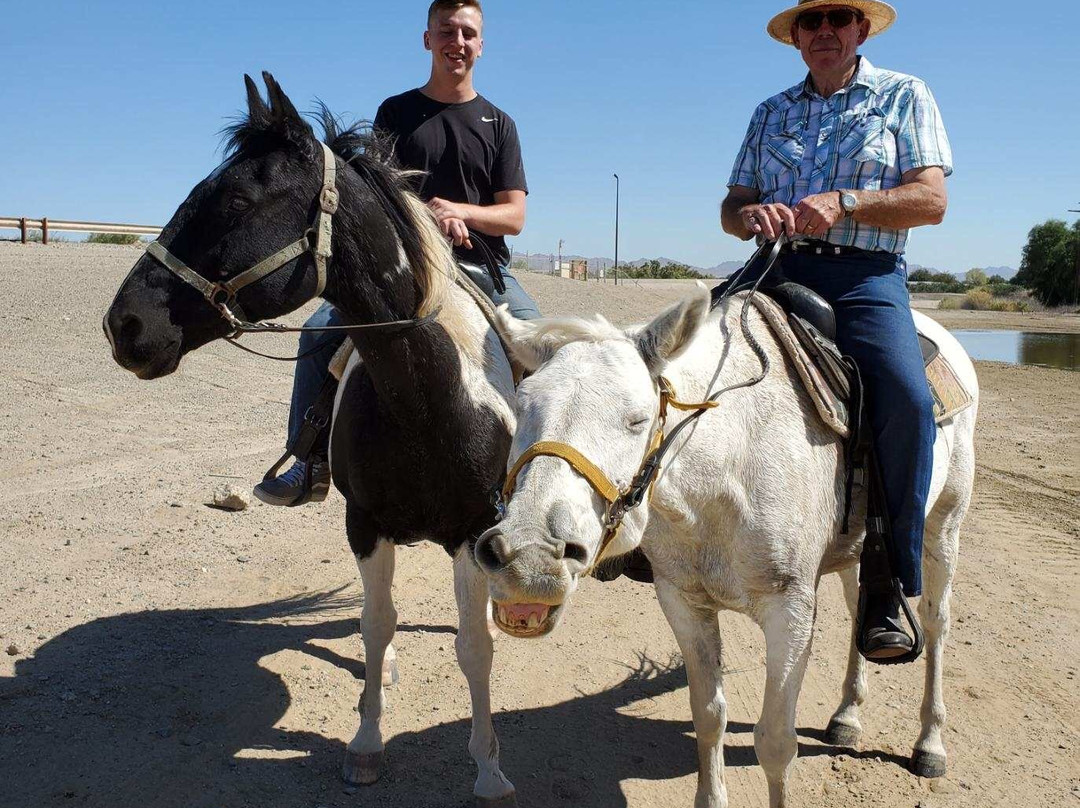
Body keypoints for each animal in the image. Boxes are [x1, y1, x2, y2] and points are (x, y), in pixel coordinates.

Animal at [103, 73, 520, 808]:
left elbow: (474, 648)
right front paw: (367, 742)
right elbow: (375, 627)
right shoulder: (365, 524)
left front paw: (489, 769)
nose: (124, 324)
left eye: (237, 200)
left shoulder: (472, 528)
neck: (426, 399)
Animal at [475, 285, 978, 808]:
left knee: (936, 624)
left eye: (636, 419)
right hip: (855, 553)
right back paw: (846, 717)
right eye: (522, 404)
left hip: (944, 527)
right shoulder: (684, 602)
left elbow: (775, 742)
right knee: (862, 605)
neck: (729, 469)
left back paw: (930, 744)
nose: (529, 561)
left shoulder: (789, 611)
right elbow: (708, 716)